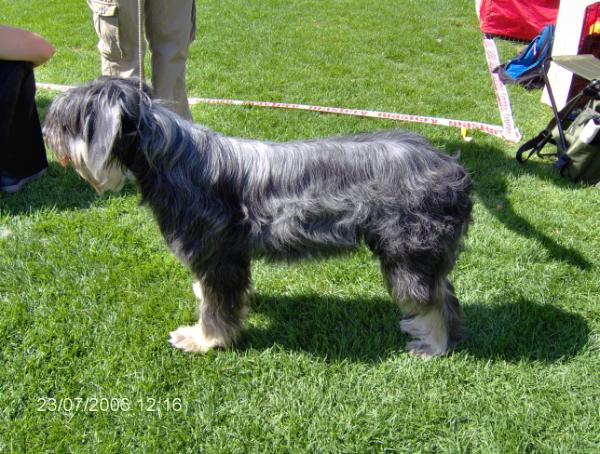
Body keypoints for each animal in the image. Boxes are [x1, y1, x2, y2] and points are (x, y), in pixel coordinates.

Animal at [43, 76, 474, 356]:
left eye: (68, 119)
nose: (47, 133)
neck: (171, 158)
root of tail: (455, 169)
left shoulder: (219, 257)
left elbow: (217, 308)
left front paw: (204, 340)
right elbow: (211, 294)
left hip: (408, 254)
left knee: (434, 299)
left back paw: (432, 344)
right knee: (446, 293)